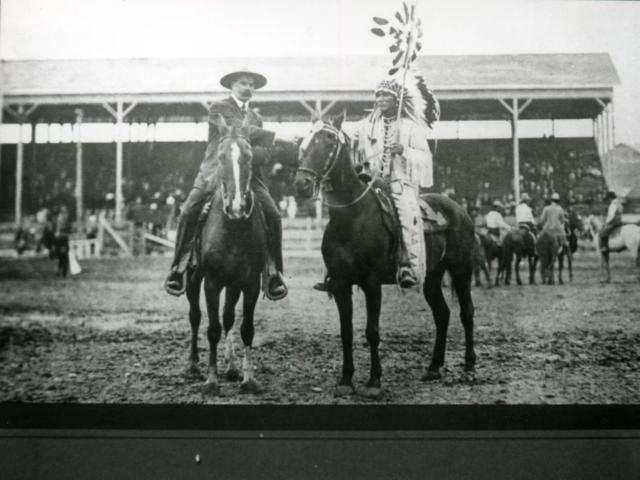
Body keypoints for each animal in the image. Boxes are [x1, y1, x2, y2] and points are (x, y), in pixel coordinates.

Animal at [186, 115, 274, 394]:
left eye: (249, 156)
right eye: (221, 156)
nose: (237, 207)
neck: (233, 227)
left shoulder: (250, 283)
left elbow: (245, 328)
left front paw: (248, 378)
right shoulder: (212, 282)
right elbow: (212, 328)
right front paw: (211, 380)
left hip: (234, 284)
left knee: (228, 318)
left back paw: (232, 366)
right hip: (193, 279)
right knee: (195, 316)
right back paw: (192, 364)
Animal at [296, 117, 476, 398]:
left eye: (328, 141)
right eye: (303, 142)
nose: (301, 184)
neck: (352, 217)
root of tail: (459, 209)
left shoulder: (372, 284)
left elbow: (372, 332)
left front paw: (374, 381)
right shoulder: (340, 285)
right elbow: (346, 332)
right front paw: (346, 380)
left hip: (461, 270)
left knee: (466, 313)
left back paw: (469, 367)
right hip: (431, 276)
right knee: (442, 314)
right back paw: (433, 368)